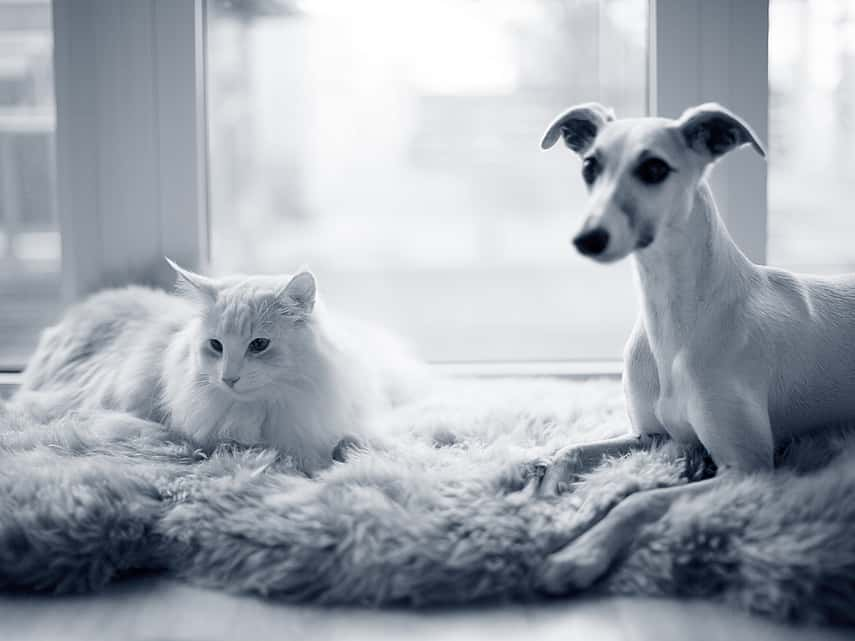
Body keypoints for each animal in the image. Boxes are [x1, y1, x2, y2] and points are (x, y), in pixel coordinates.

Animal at [536, 102, 855, 592]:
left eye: (653, 168)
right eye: (590, 166)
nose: (587, 238)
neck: (676, 320)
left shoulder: (748, 469)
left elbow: (639, 500)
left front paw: (579, 554)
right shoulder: (653, 437)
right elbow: (568, 450)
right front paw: (550, 504)